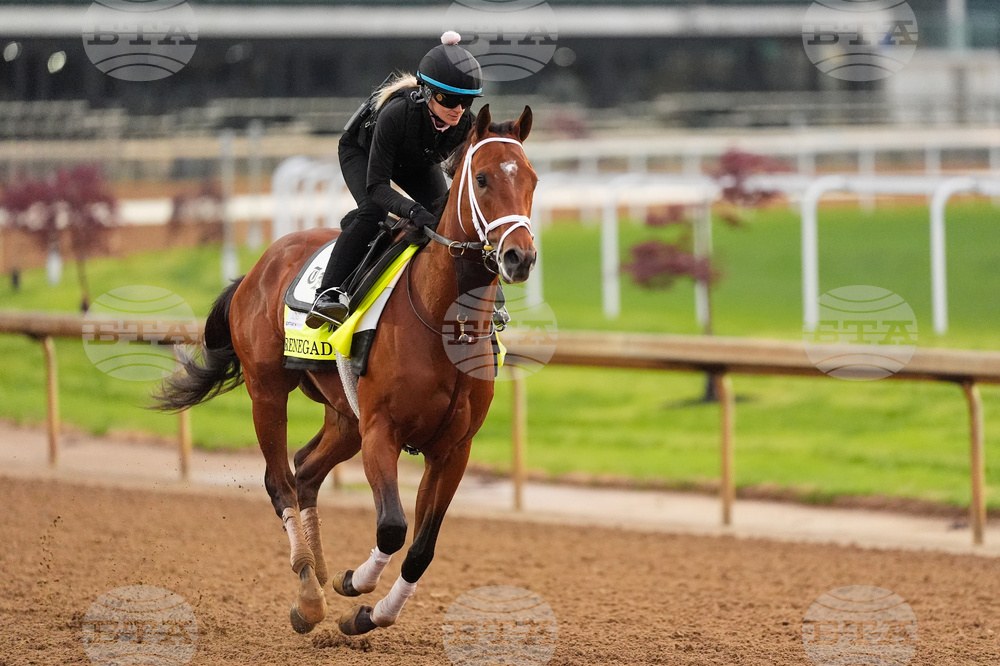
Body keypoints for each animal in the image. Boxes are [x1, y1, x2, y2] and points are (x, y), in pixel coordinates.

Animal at [154, 105, 538, 637]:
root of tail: (258, 267)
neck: (445, 324)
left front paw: (370, 615)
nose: (520, 257)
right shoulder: (382, 431)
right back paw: (309, 593)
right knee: (280, 481)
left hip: (344, 416)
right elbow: (393, 527)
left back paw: (314, 574)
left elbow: (421, 547)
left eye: (532, 180)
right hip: (269, 392)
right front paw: (353, 583)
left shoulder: (453, 449)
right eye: (481, 179)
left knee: (306, 470)